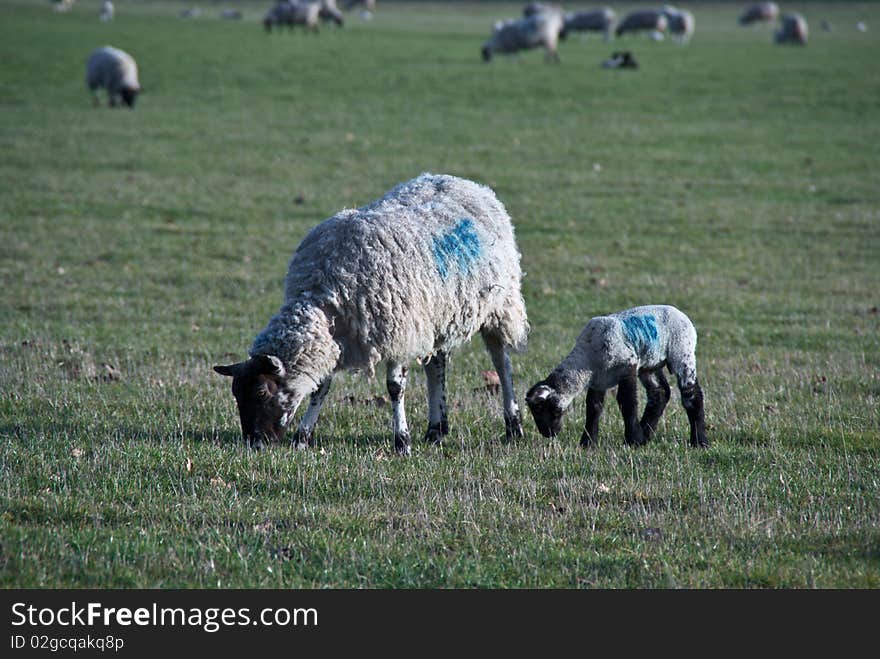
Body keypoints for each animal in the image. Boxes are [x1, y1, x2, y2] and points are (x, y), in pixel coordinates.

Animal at [213, 173, 528, 456]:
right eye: (236, 395)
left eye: (262, 392)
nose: (255, 443)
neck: (324, 295)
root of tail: (467, 183)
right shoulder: (337, 339)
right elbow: (321, 387)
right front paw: (302, 438)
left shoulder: (399, 332)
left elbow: (395, 388)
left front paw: (402, 442)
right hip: (439, 316)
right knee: (436, 365)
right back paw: (436, 430)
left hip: (499, 305)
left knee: (501, 361)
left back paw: (513, 425)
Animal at [524, 306, 708, 452]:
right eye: (533, 411)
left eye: (544, 408)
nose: (548, 433)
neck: (587, 357)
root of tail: (681, 314)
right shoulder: (598, 380)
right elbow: (593, 407)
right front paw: (588, 443)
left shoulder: (628, 365)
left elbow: (627, 402)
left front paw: (633, 440)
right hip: (650, 364)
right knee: (659, 393)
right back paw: (646, 435)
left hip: (682, 352)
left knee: (692, 395)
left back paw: (699, 442)